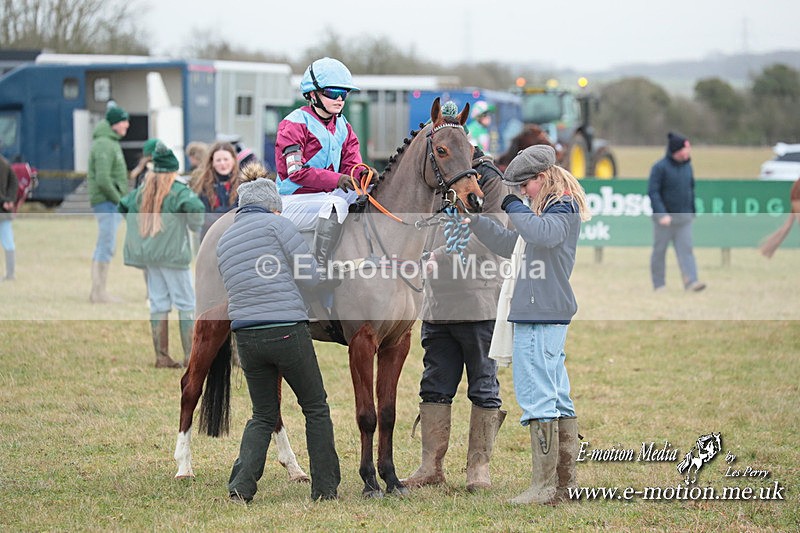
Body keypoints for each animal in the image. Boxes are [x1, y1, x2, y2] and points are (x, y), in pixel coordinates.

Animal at [174, 97, 485, 498]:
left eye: (472, 151)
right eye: (442, 150)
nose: (474, 199)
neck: (386, 246)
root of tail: (225, 222)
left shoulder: (396, 343)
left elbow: (388, 413)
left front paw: (391, 478)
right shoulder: (362, 342)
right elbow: (367, 414)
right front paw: (369, 481)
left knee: (273, 401)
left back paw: (294, 468)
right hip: (210, 325)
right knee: (190, 386)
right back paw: (183, 466)